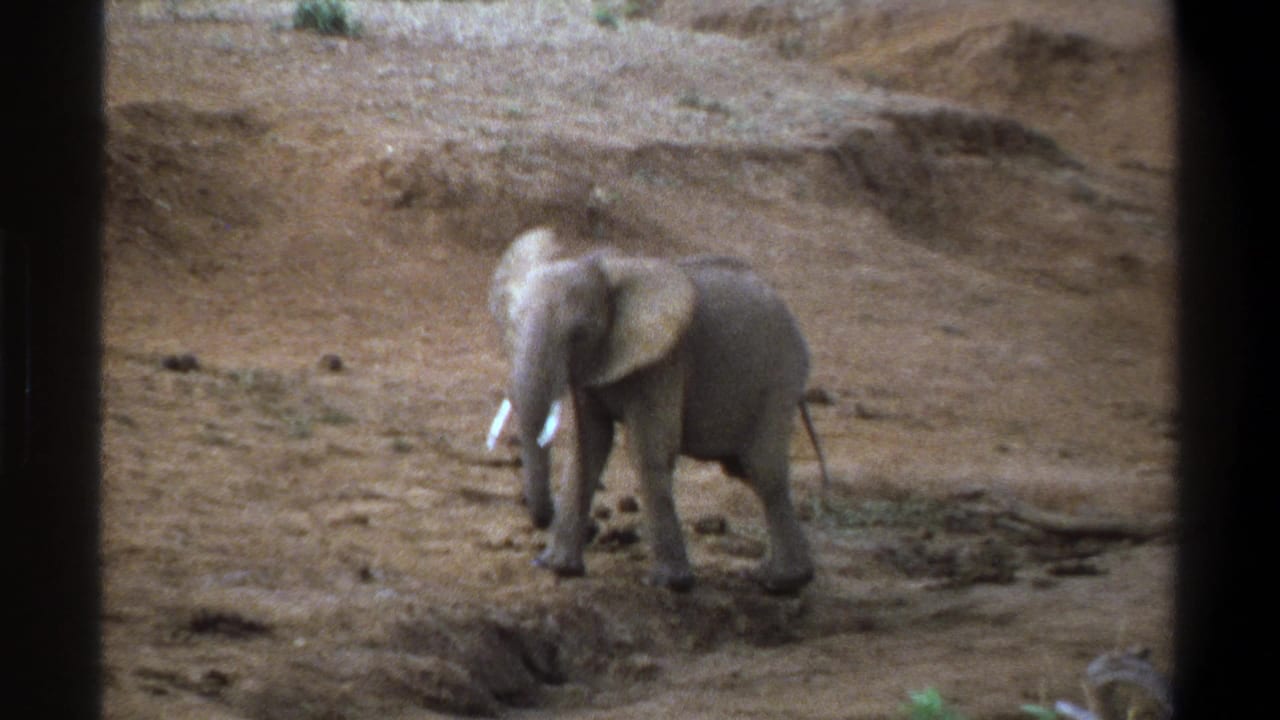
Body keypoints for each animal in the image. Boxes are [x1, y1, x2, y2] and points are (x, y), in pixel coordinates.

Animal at [488, 227, 820, 593]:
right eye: (512, 325)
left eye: (579, 333)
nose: (543, 517)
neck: (602, 267)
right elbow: (588, 448)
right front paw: (558, 568)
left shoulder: (663, 362)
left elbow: (648, 451)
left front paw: (668, 584)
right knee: (743, 470)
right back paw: (777, 577)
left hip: (780, 377)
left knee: (764, 471)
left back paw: (779, 582)